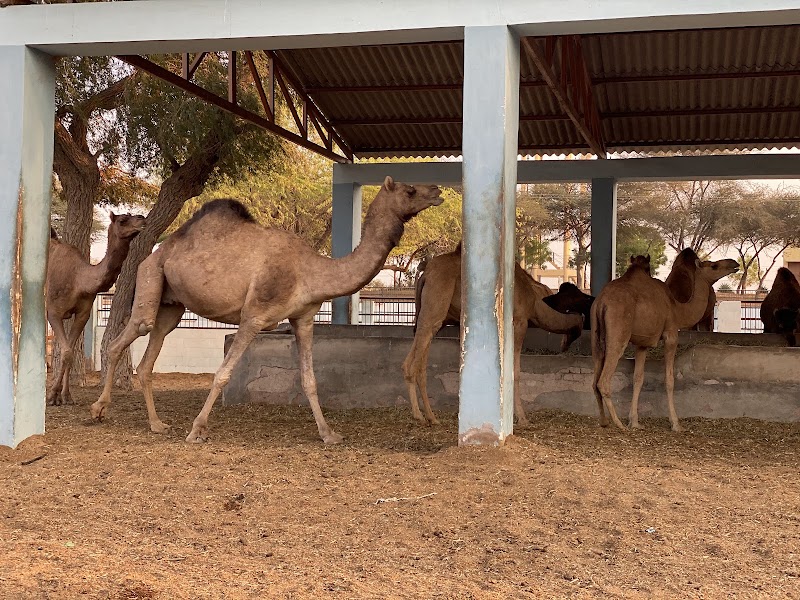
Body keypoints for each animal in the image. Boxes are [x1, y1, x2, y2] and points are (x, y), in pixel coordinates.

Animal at [46, 213, 146, 405]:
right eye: (122, 220)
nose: (142, 219)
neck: (80, 280)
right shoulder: (53, 312)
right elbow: (66, 351)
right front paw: (53, 395)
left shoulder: (82, 314)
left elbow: (70, 352)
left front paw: (66, 396)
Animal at [91, 176, 443, 444]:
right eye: (410, 190)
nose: (437, 190)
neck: (310, 271)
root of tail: (157, 252)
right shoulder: (254, 315)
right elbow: (223, 374)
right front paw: (197, 430)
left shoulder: (304, 318)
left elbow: (310, 379)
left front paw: (329, 434)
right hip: (150, 280)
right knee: (124, 338)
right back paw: (98, 409)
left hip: (172, 305)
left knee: (149, 356)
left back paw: (156, 424)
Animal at [402, 247, 584, 427]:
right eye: (576, 333)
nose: (564, 346)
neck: (534, 302)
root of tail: (425, 275)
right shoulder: (519, 321)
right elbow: (515, 371)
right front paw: (522, 418)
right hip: (435, 303)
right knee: (415, 359)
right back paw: (418, 415)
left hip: (432, 316)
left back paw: (431, 417)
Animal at [591, 250, 738, 432]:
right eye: (714, 266)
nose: (734, 264)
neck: (678, 309)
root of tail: (602, 302)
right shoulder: (671, 335)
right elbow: (669, 380)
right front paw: (676, 424)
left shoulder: (643, 343)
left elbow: (638, 378)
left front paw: (635, 422)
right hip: (618, 334)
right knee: (603, 380)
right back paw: (618, 423)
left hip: (595, 336)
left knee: (594, 380)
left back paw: (604, 421)